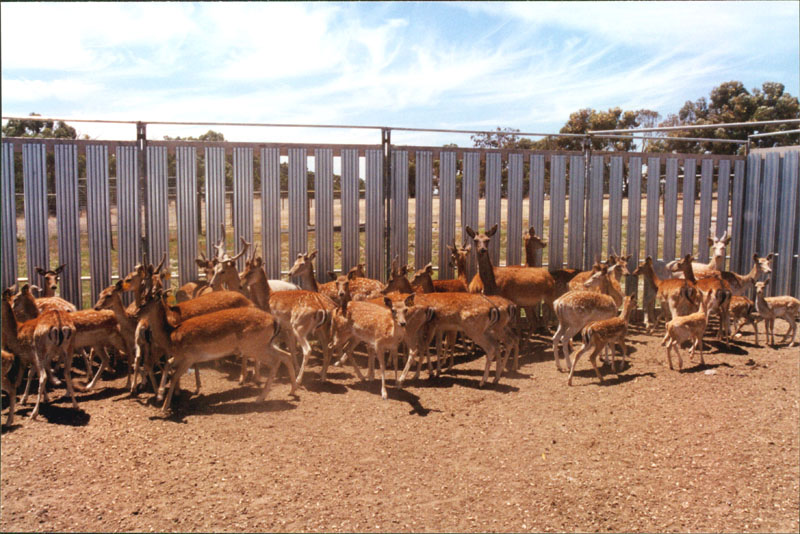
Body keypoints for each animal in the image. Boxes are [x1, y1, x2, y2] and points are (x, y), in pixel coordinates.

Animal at [133, 288, 296, 413]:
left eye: (145, 302)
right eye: (141, 299)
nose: (134, 314)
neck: (171, 335)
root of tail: (274, 321)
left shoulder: (189, 358)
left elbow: (174, 376)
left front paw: (164, 407)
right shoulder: (179, 356)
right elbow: (168, 365)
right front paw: (160, 395)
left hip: (255, 347)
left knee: (276, 361)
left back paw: (260, 398)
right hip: (266, 344)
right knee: (286, 355)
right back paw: (292, 391)